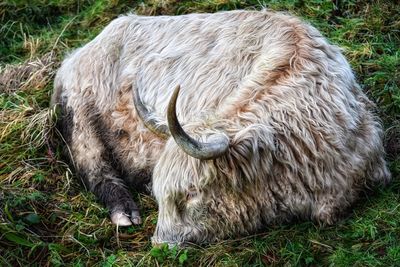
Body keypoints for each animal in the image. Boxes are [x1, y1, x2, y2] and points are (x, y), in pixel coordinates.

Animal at [50, 9, 390, 245]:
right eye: (162, 197)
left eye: (190, 196)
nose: (160, 244)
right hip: (80, 119)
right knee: (93, 166)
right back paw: (124, 212)